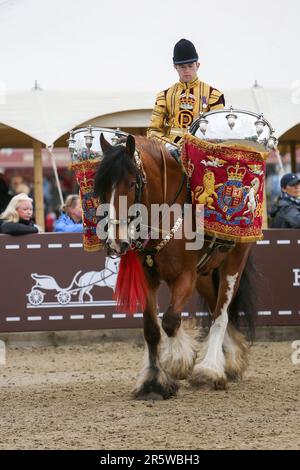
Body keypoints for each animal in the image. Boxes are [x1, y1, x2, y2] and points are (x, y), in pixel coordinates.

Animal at [71, 110, 276, 400]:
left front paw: (178, 362)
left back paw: (210, 370)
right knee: (214, 308)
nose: (115, 241)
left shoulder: (185, 277)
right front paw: (153, 381)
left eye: (132, 183)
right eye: (100, 187)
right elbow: (151, 329)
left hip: (233, 263)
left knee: (220, 314)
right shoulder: (149, 278)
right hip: (205, 275)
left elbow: (169, 321)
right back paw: (230, 361)